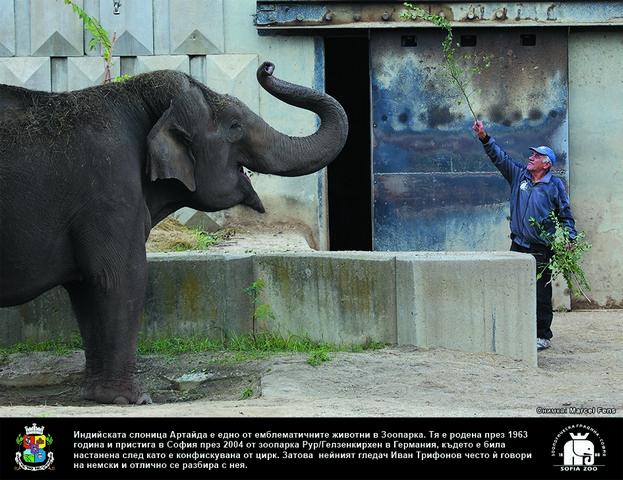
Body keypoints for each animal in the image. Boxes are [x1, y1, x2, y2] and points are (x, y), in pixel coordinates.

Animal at [0, 62, 348, 404]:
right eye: (235, 126)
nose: (267, 67)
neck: (136, 99)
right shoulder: (110, 190)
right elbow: (121, 276)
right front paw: (132, 398)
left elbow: (85, 287)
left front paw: (96, 395)